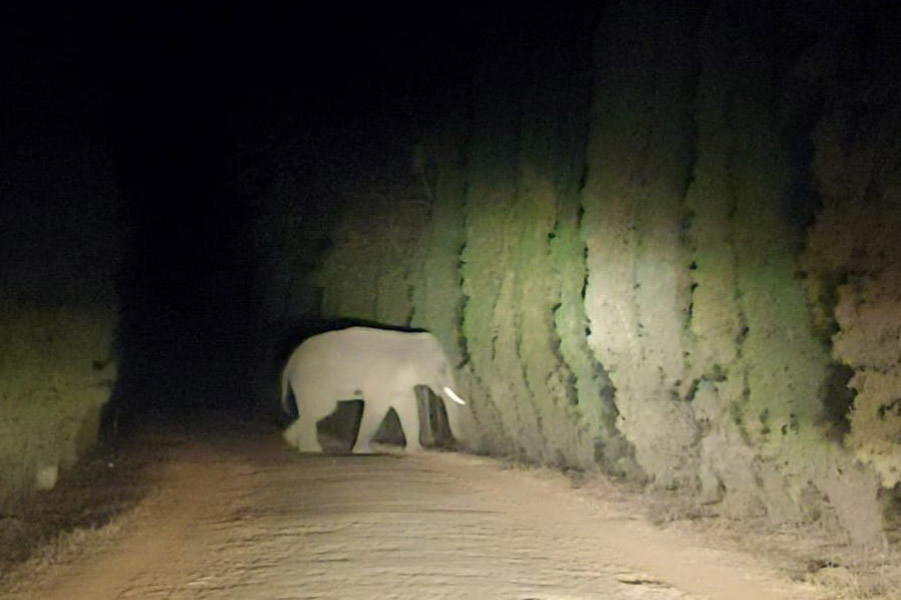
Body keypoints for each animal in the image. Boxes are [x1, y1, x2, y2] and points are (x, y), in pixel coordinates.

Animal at [282, 328, 468, 454]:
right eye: (442, 369)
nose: (457, 443)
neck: (410, 339)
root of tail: (291, 360)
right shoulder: (384, 376)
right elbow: (378, 407)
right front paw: (362, 452)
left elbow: (407, 406)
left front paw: (416, 451)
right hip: (311, 380)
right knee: (323, 408)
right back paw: (310, 449)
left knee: (316, 410)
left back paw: (291, 441)